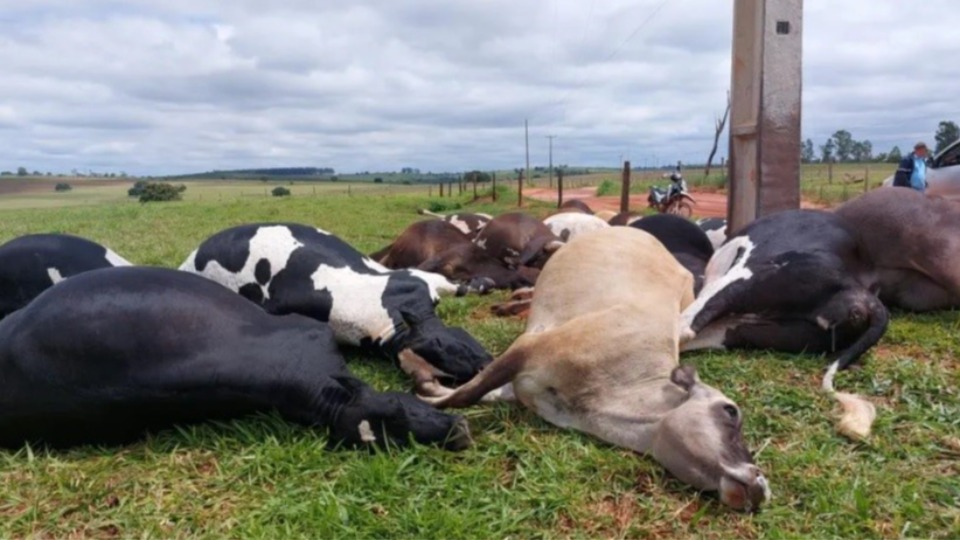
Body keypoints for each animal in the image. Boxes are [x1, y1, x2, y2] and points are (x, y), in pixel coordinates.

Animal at [180, 223, 493, 389]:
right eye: (439, 349)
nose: (485, 364)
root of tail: (191, 256)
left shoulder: (414, 279)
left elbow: (451, 283)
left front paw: (481, 283)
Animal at [421, 228, 770, 511]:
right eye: (731, 411)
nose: (762, 484)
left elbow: (478, 392)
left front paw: (430, 388)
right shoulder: (528, 347)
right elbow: (466, 394)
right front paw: (427, 397)